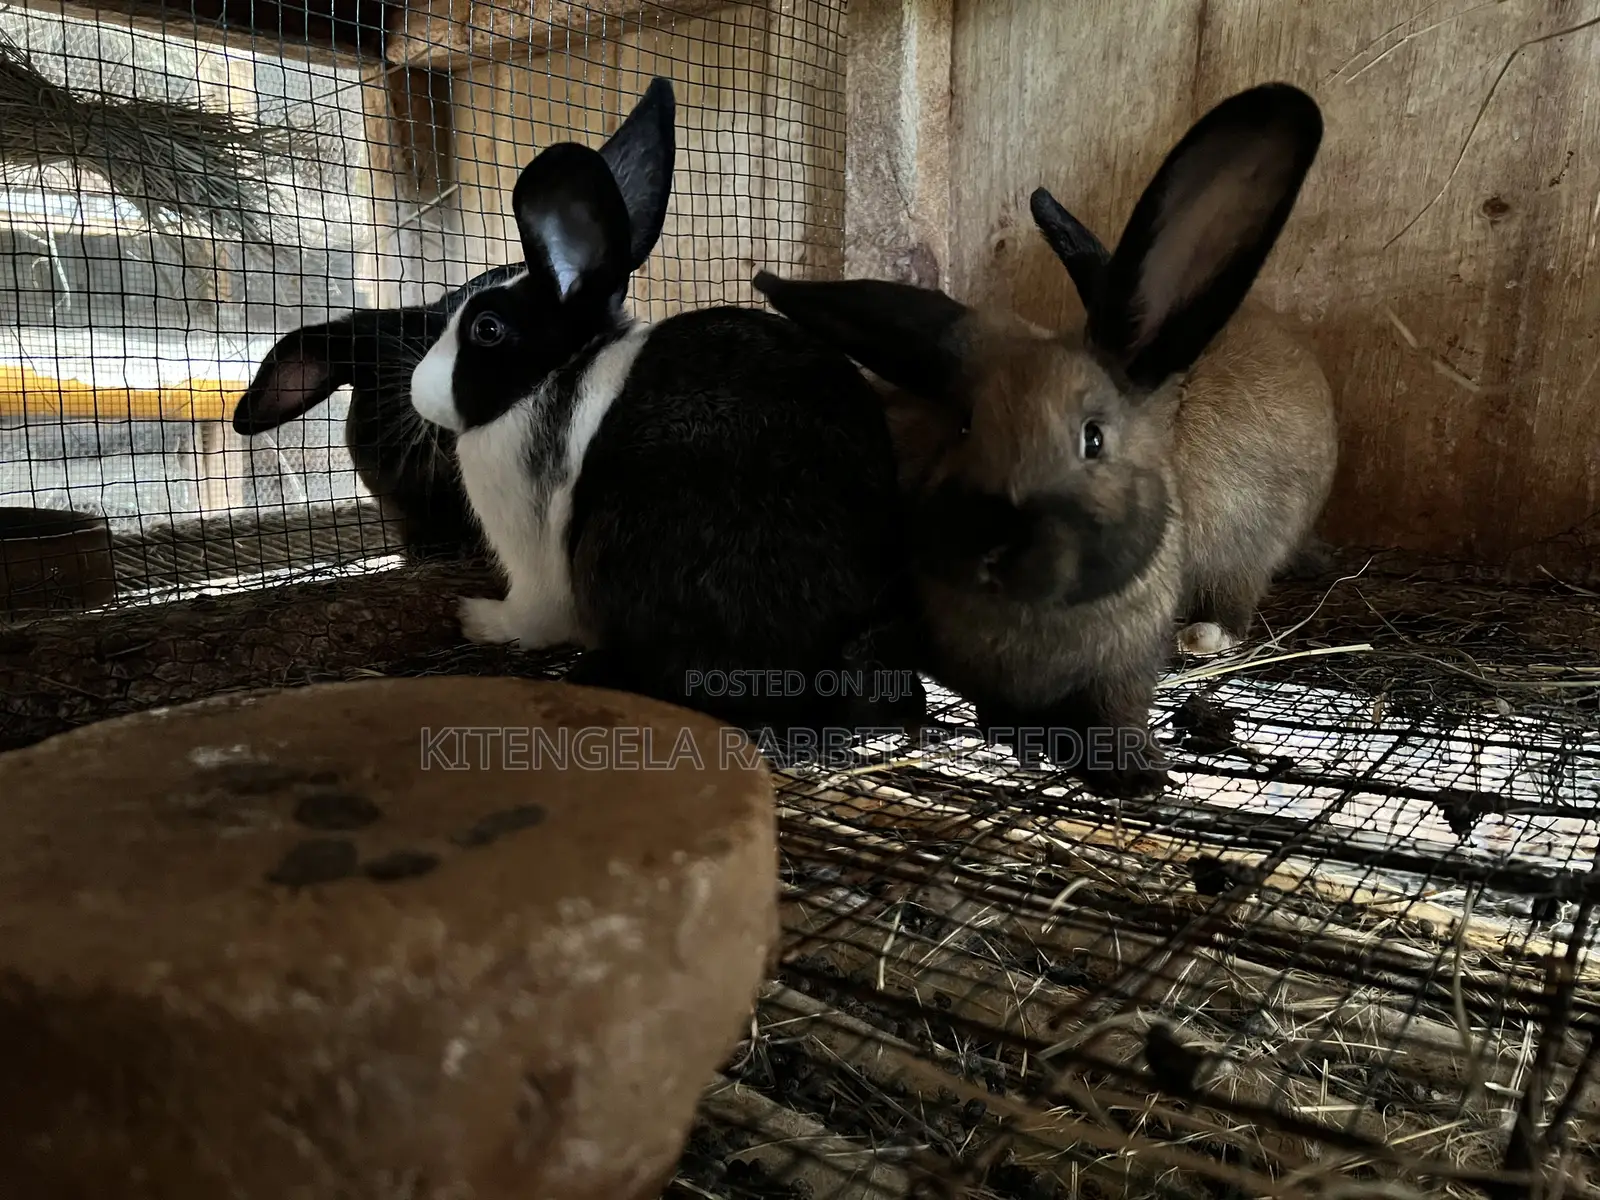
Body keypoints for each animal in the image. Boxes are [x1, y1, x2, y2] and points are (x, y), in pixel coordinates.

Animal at [407, 76, 926, 743]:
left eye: (487, 329)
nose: (418, 388)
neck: (558, 372)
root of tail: (832, 659)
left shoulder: (534, 563)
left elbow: (530, 620)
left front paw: (474, 618)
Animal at [751, 82, 1336, 796]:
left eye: (1094, 439)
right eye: (965, 427)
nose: (995, 542)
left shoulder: (1125, 670)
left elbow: (1119, 715)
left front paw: (1137, 776)